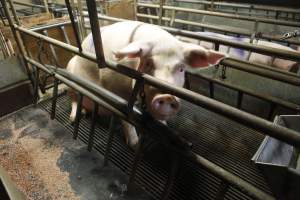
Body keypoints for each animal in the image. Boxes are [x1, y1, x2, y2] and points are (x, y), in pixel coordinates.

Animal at [66, 20, 225, 148]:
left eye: (181, 68)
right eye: (148, 63)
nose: (167, 97)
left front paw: (163, 125)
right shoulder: (115, 90)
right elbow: (126, 118)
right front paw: (134, 144)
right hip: (70, 77)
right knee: (74, 100)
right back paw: (75, 118)